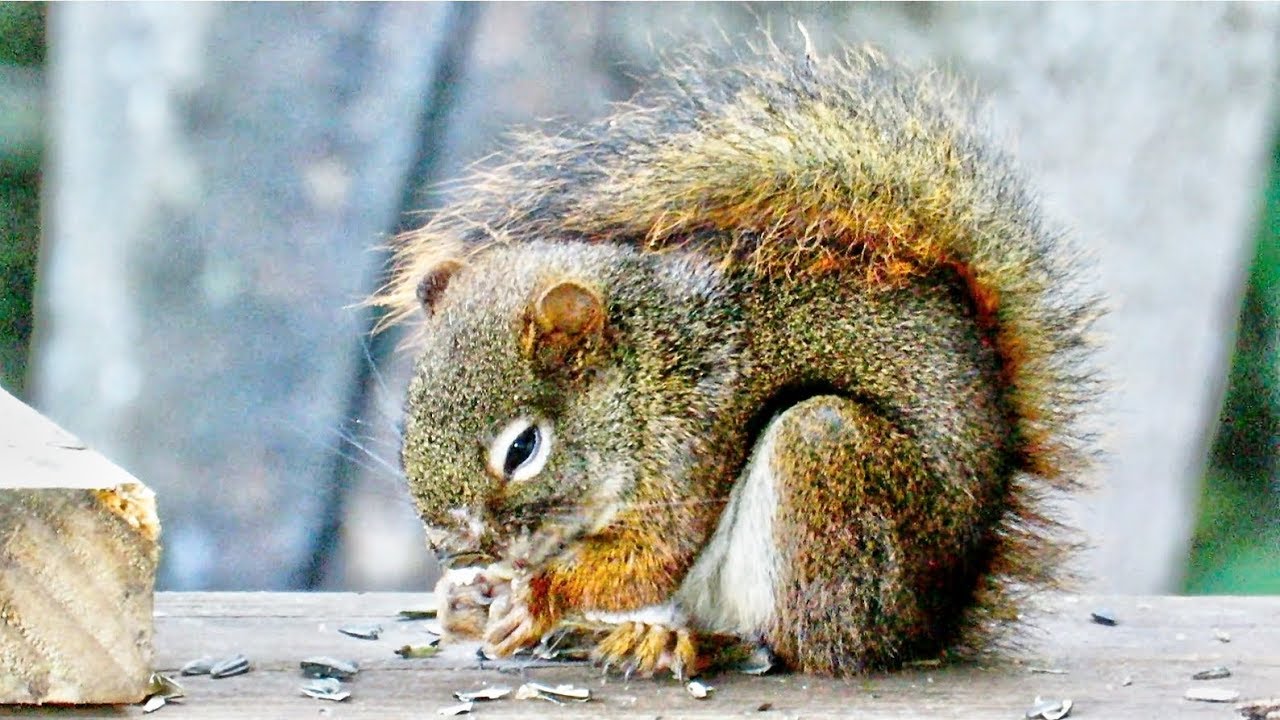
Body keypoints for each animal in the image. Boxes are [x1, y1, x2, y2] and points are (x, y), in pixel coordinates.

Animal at [375, 41, 1098, 678]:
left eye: (522, 449)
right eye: (408, 425)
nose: (448, 548)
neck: (644, 367)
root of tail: (931, 620)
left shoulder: (693, 427)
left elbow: (650, 558)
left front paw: (535, 598)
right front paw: (470, 595)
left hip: (829, 467)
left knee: (797, 645)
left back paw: (678, 645)